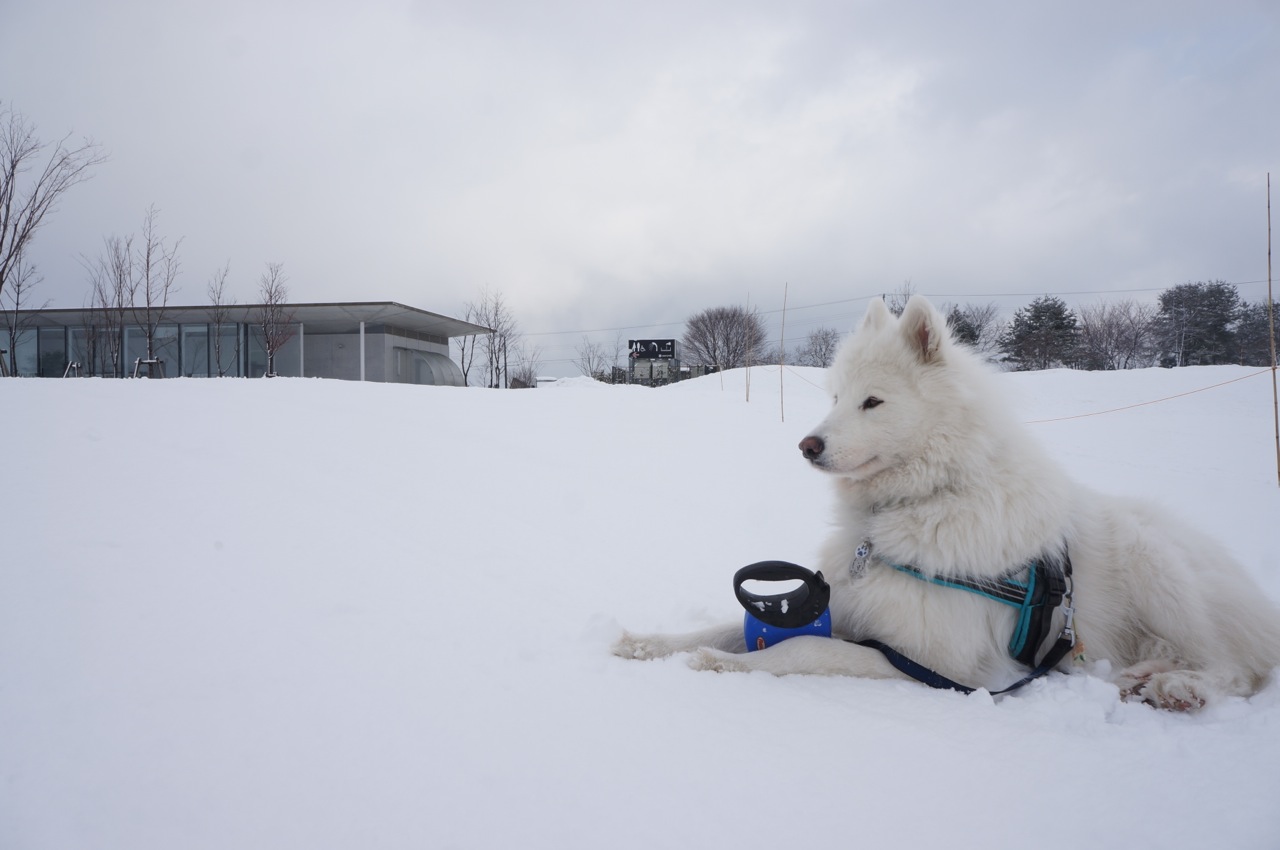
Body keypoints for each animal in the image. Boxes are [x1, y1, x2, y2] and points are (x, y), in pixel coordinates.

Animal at [616, 295, 1280, 706]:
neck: (923, 501)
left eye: (873, 402)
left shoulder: (941, 666)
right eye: (834, 396)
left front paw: (723, 667)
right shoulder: (854, 606)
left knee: (1237, 666)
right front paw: (651, 644)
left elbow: (801, 646)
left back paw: (1178, 689)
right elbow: (724, 625)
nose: (807, 444)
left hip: (1160, 568)